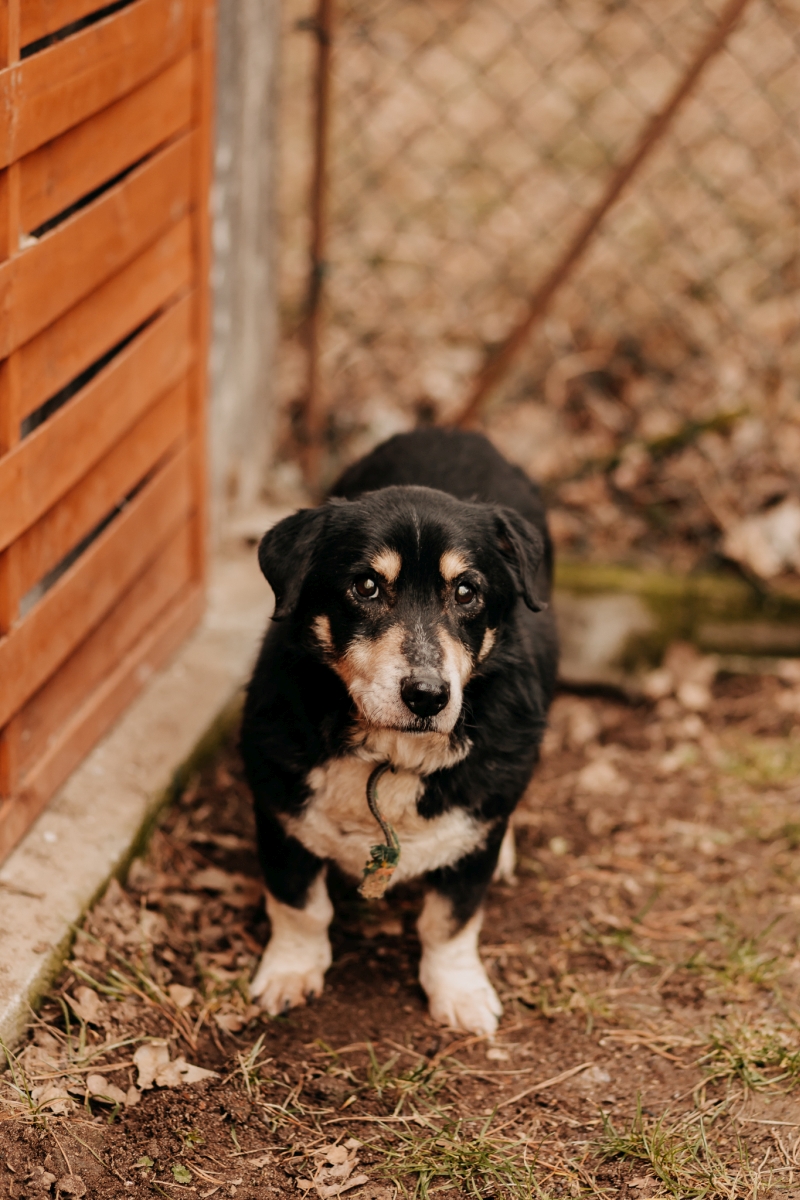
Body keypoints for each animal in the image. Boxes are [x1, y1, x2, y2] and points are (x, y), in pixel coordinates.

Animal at [241, 428, 558, 1035]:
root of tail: (454, 432)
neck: (390, 752)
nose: (429, 696)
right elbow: (299, 906)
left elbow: (451, 921)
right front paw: (291, 973)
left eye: (467, 592)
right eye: (365, 586)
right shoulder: (279, 814)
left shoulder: (472, 844)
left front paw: (459, 992)